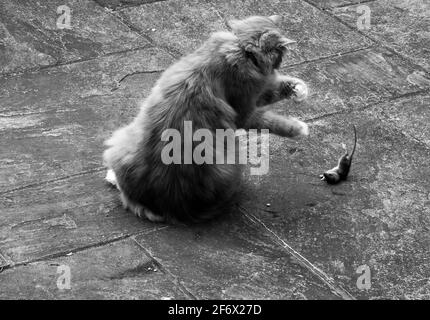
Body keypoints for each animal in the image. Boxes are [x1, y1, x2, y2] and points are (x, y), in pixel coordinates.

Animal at [105, 15, 312, 222]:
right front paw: (299, 128)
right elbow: (272, 119)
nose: (279, 63)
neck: (241, 48)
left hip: (122, 140)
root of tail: (165, 206)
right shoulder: (246, 111)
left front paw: (298, 89)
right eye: (280, 55)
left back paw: (112, 177)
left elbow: (278, 87)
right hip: (234, 156)